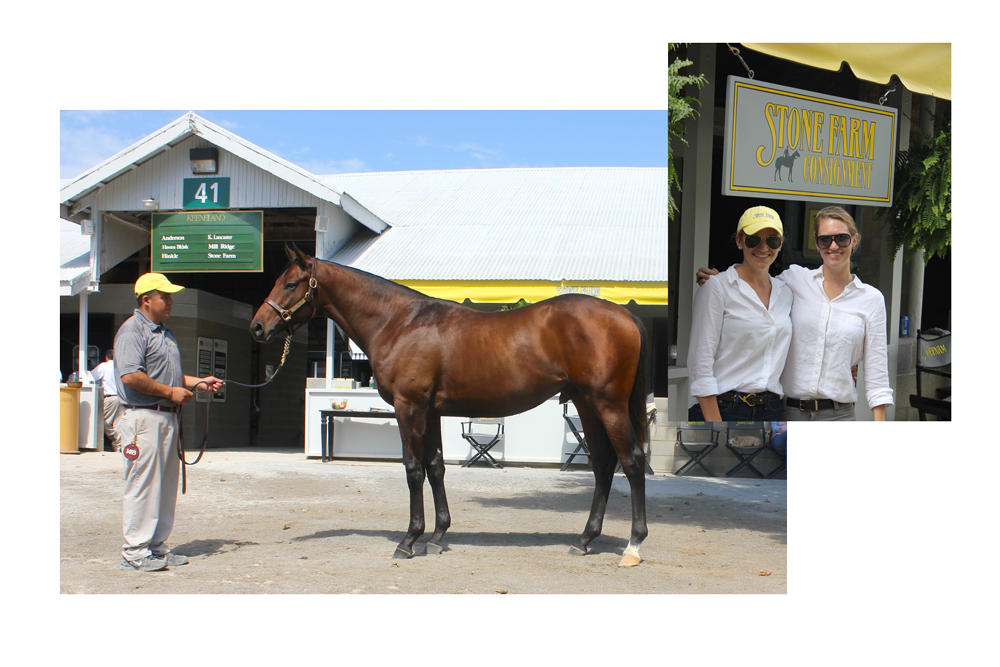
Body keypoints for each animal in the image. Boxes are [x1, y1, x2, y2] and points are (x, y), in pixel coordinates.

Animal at [254, 245, 652, 568]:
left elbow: (413, 470)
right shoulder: (430, 413)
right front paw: (437, 536)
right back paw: (584, 540)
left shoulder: (409, 409)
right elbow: (436, 468)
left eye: (291, 284)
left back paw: (633, 546)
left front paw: (409, 540)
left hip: (608, 404)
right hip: (586, 404)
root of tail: (627, 316)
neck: (400, 323)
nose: (258, 327)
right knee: (603, 465)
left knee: (632, 462)